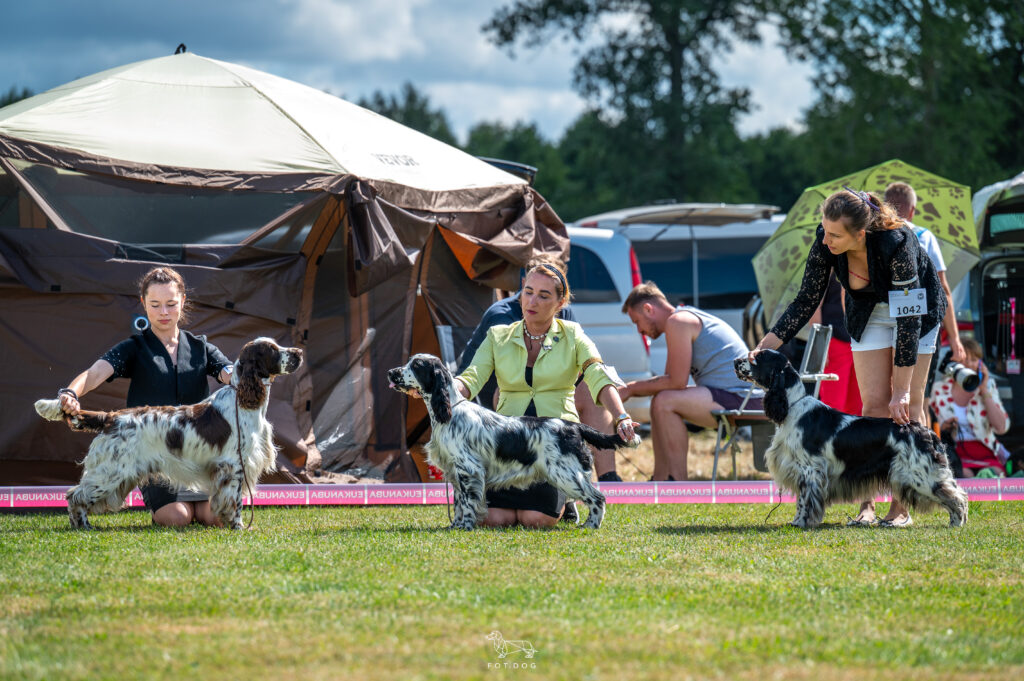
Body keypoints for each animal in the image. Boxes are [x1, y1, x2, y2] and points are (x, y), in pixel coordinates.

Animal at [34, 337, 303, 529]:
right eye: (272, 350)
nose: (299, 352)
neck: (243, 400)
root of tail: (111, 418)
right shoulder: (234, 465)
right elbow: (235, 501)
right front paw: (237, 526)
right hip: (110, 472)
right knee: (75, 496)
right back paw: (83, 526)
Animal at [387, 353, 640, 529]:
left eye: (417, 366)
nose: (391, 372)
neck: (448, 413)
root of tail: (573, 426)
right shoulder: (456, 471)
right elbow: (459, 502)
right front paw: (455, 525)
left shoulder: (468, 469)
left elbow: (467, 503)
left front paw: (465, 526)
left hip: (567, 474)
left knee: (598, 498)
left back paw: (590, 525)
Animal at [733, 349, 968, 528]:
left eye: (757, 357)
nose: (735, 361)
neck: (793, 407)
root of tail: (927, 432)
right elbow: (802, 501)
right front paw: (797, 522)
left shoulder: (810, 471)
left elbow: (805, 501)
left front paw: (801, 523)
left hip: (921, 476)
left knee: (958, 496)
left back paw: (957, 523)